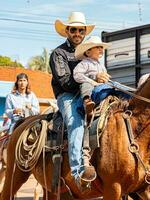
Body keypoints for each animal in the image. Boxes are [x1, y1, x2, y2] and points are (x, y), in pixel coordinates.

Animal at [0, 77, 150, 200]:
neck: (131, 129)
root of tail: (24, 121)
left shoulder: (143, 189)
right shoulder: (113, 187)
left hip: (50, 188)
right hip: (14, 174)